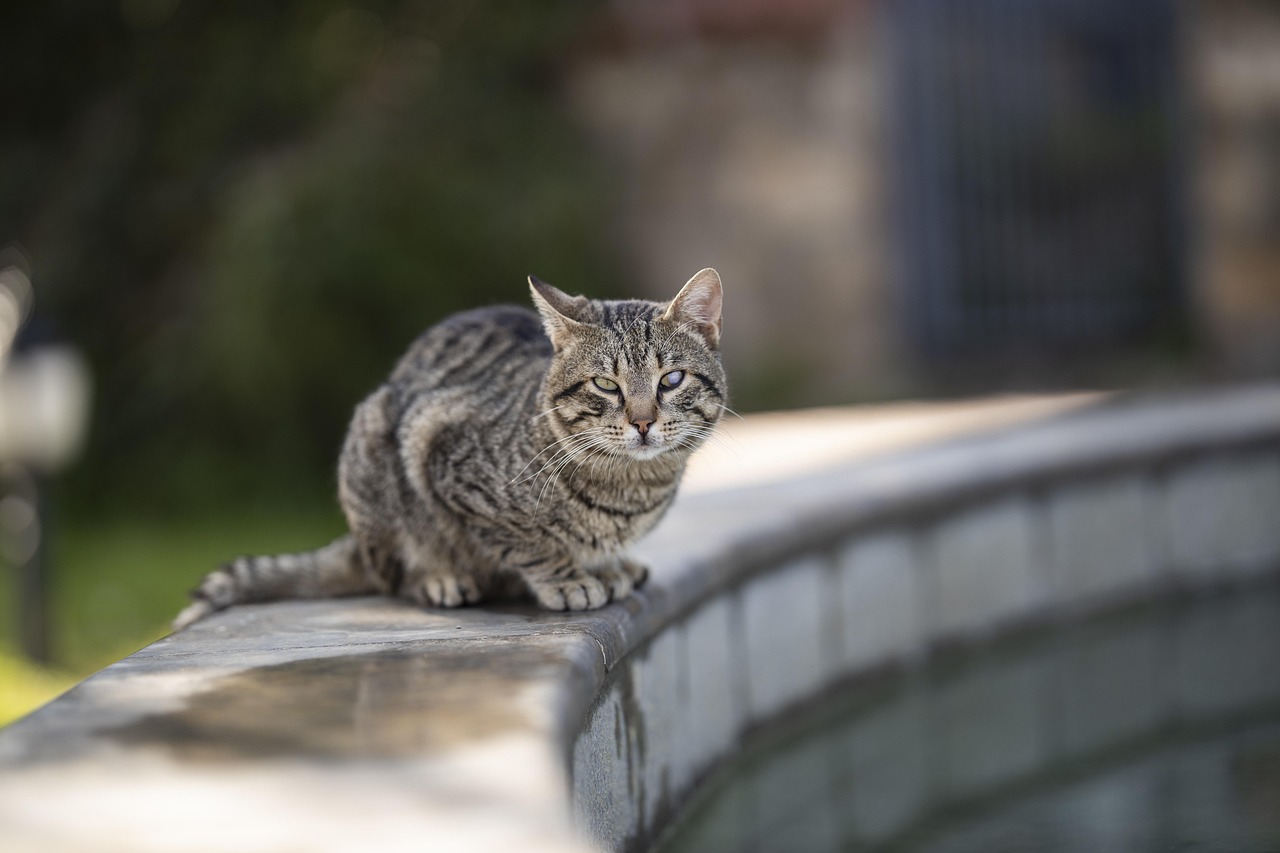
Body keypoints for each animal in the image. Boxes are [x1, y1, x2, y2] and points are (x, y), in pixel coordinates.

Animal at [174, 268, 727, 627]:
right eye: (606, 385)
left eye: (671, 379)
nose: (643, 422)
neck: (632, 488)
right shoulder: (442, 456)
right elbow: (526, 544)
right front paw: (568, 578)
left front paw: (604, 564)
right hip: (375, 453)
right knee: (398, 573)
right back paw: (441, 578)